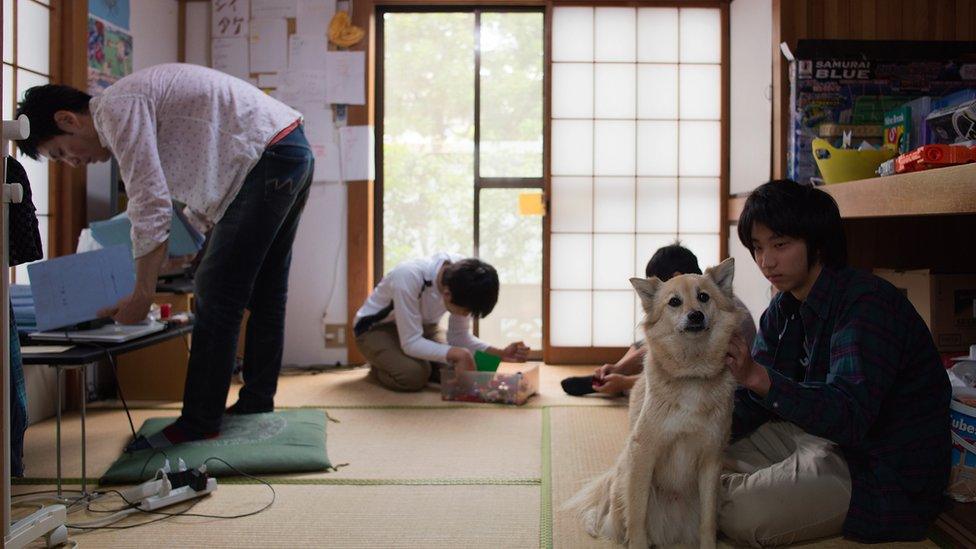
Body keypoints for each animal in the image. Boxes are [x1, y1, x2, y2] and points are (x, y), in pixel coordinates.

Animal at [564, 258, 740, 548]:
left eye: (703, 297)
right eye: (674, 302)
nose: (695, 315)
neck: (691, 374)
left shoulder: (712, 460)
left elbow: (707, 523)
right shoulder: (643, 453)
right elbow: (637, 516)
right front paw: (638, 542)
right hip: (623, 479)